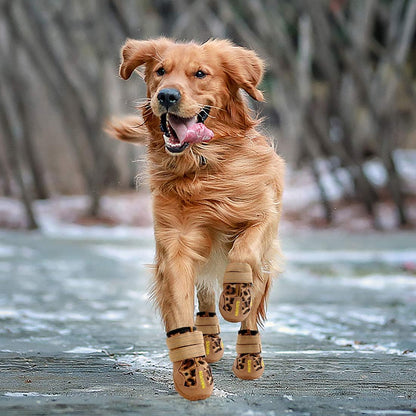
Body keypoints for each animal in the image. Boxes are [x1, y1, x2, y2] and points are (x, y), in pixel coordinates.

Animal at [107, 38, 284, 400]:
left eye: (200, 74)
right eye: (161, 71)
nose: (166, 96)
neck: (203, 167)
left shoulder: (263, 216)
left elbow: (244, 251)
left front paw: (235, 296)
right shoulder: (175, 245)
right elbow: (179, 309)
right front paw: (192, 370)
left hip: (266, 262)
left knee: (251, 308)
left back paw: (248, 358)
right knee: (203, 295)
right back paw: (209, 340)